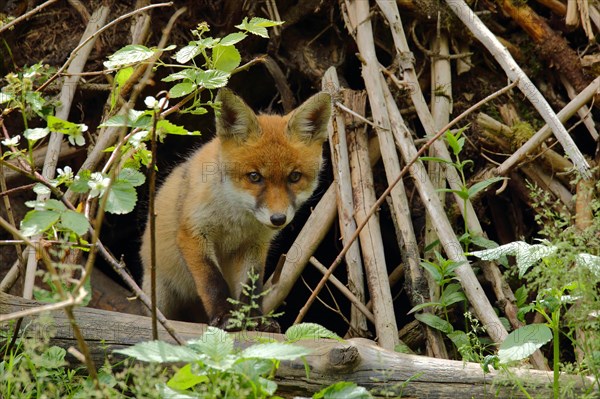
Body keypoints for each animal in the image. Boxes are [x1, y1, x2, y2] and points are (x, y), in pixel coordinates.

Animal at [139, 89, 332, 332]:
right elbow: (211, 280)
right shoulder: (193, 233)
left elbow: (251, 287)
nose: (278, 219)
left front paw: (254, 319)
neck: (237, 220)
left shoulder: (255, 244)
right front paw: (224, 315)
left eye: (294, 177)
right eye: (255, 177)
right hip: (159, 294)